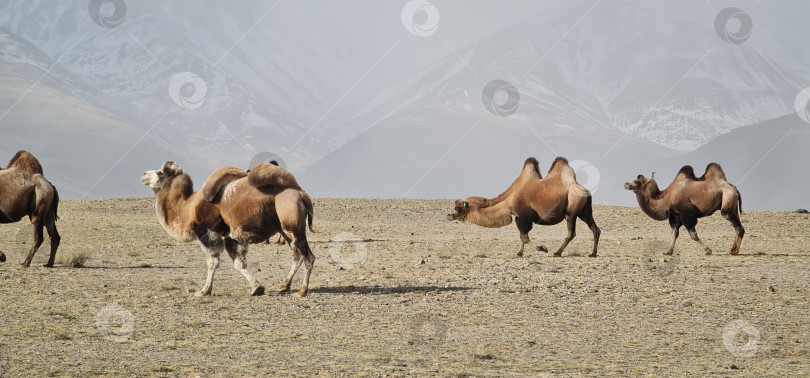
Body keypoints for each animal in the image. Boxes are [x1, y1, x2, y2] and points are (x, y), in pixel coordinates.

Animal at [199, 161, 316, 296]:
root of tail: (301, 193)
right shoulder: (230, 236)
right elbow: (234, 261)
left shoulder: (213, 233)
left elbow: (212, 261)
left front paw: (204, 291)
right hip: (287, 230)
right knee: (297, 255)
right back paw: (284, 286)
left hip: (293, 225)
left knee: (308, 257)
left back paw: (302, 291)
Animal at [448, 156, 600, 256]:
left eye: (458, 207)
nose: (449, 215)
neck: (507, 200)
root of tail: (585, 190)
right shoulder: (518, 217)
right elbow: (522, 236)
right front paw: (519, 253)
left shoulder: (524, 216)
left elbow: (525, 237)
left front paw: (542, 248)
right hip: (585, 211)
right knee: (595, 229)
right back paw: (592, 253)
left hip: (572, 210)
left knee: (571, 233)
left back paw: (557, 252)